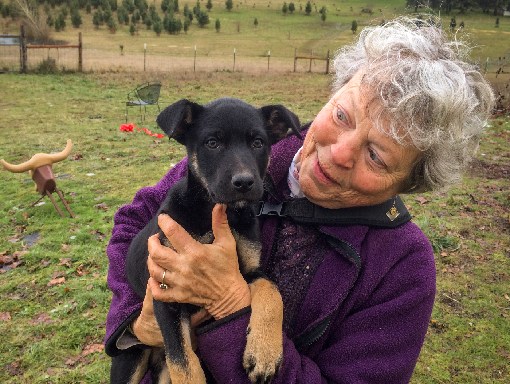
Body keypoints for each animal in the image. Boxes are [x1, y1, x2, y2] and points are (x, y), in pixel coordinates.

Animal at [111, 97, 300, 382]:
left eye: (258, 143)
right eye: (212, 143)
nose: (244, 183)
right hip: (130, 359)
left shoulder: (250, 270)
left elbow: (272, 291)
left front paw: (264, 352)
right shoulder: (165, 293)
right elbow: (182, 361)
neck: (218, 212)